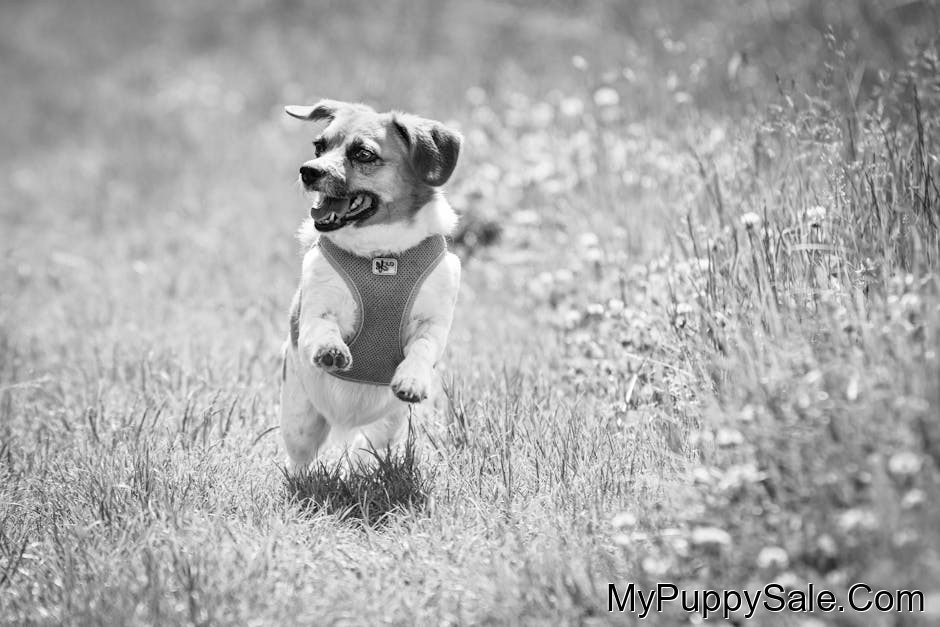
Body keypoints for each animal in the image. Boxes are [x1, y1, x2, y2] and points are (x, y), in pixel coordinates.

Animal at [280, 99, 462, 469]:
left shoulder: (433, 324)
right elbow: (322, 328)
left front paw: (412, 379)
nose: (308, 171)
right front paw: (331, 349)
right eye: (319, 147)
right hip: (300, 419)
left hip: (386, 426)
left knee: (366, 450)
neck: (381, 255)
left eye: (363, 154)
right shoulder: (317, 310)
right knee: (301, 458)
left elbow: (422, 349)